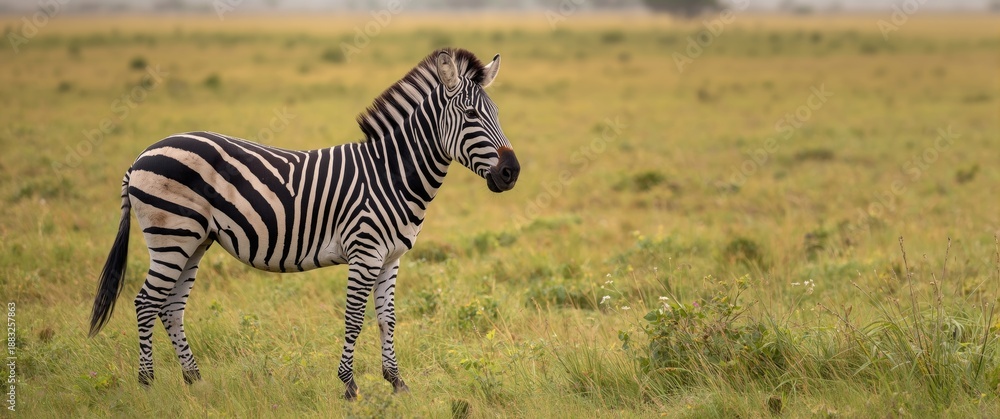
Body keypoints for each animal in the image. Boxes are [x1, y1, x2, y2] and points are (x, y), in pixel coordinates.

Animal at [87, 48, 520, 400]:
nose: (511, 173)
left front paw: (397, 383)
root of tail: (141, 156)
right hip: (171, 235)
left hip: (193, 241)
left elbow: (387, 319)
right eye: (470, 115)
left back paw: (195, 381)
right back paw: (147, 384)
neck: (390, 174)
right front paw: (349, 386)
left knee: (171, 307)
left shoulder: (391, 258)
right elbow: (354, 318)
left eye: (499, 115)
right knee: (146, 302)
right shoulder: (365, 253)